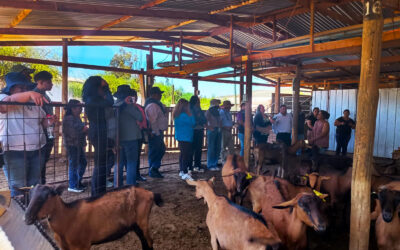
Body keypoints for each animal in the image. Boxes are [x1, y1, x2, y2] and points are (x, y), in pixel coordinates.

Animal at [24, 184, 162, 250]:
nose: (27, 218)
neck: (68, 217)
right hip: (135, 225)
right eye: (30, 195)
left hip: (142, 221)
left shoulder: (83, 245)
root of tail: (150, 193)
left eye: (47, 195)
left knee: (149, 242)